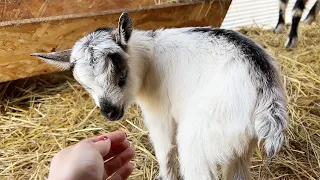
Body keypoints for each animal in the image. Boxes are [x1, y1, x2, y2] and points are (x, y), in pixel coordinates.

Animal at [31, 11, 288, 179]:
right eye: (87, 86)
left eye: (122, 76)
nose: (110, 113)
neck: (148, 57)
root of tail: (266, 92)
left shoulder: (159, 110)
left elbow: (164, 148)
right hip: (240, 143)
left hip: (201, 136)